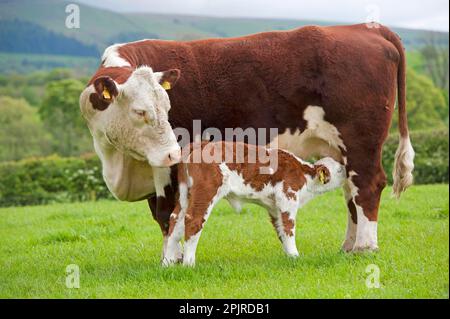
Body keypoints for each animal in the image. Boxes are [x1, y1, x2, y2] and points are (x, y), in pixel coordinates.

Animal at [163, 142, 346, 268]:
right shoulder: (288, 197)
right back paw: (189, 263)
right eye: (338, 170)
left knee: (175, 220)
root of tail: (201, 143)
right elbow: (289, 228)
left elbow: (280, 230)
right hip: (206, 192)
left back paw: (167, 263)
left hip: (184, 193)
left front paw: (290, 257)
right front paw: (296, 256)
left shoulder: (274, 207)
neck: (304, 175)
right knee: (194, 220)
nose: (347, 171)